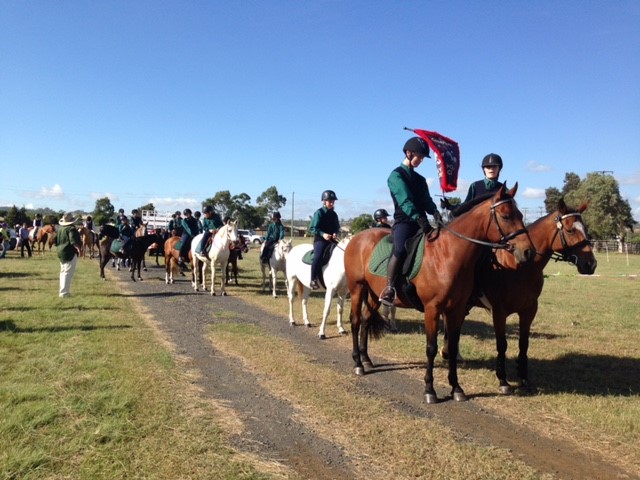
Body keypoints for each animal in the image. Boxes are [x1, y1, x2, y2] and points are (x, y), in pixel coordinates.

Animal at [344, 186, 536, 404]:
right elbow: (431, 348)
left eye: (520, 214)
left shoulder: (456, 310)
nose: (528, 251)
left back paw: (366, 360)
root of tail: (356, 238)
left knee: (366, 320)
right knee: (356, 321)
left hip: (374, 294)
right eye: (505, 216)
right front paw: (430, 390)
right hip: (357, 289)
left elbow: (452, 346)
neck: (447, 254)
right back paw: (358, 363)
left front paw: (456, 388)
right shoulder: (432, 309)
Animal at [444, 198, 596, 394]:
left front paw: (523, 377)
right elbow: (502, 344)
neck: (520, 267)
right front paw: (503, 380)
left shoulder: (529, 310)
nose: (591, 264)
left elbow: (524, 343)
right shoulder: (499, 312)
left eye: (585, 229)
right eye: (570, 230)